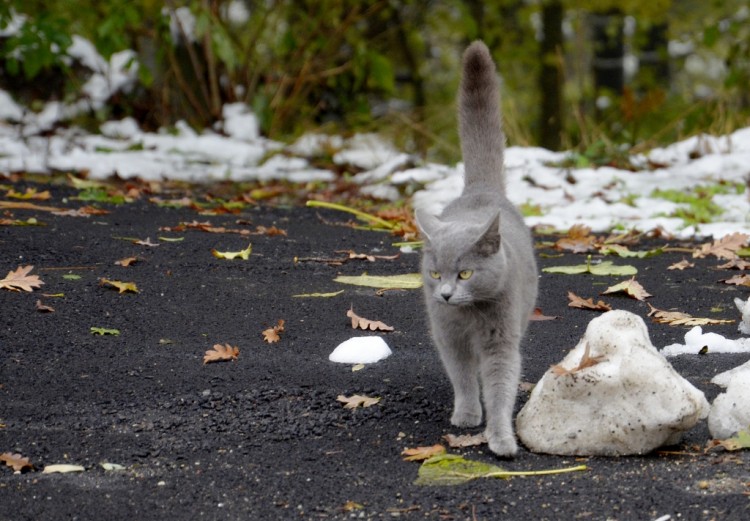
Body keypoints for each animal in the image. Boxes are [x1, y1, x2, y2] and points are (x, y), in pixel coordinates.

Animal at [418, 41, 540, 456]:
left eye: (465, 273)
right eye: (434, 273)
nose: (444, 294)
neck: (469, 316)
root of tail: (481, 189)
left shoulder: (501, 338)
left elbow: (500, 385)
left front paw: (501, 438)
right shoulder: (447, 335)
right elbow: (462, 376)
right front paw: (467, 414)